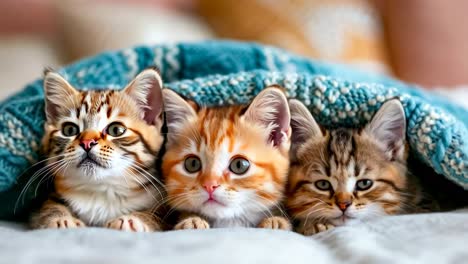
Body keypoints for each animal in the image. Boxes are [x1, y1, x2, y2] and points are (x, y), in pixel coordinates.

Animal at [29, 67, 166, 231]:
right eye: (69, 130)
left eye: (116, 130)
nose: (87, 142)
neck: (102, 191)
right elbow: (49, 206)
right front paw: (61, 219)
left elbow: (158, 213)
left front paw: (134, 219)